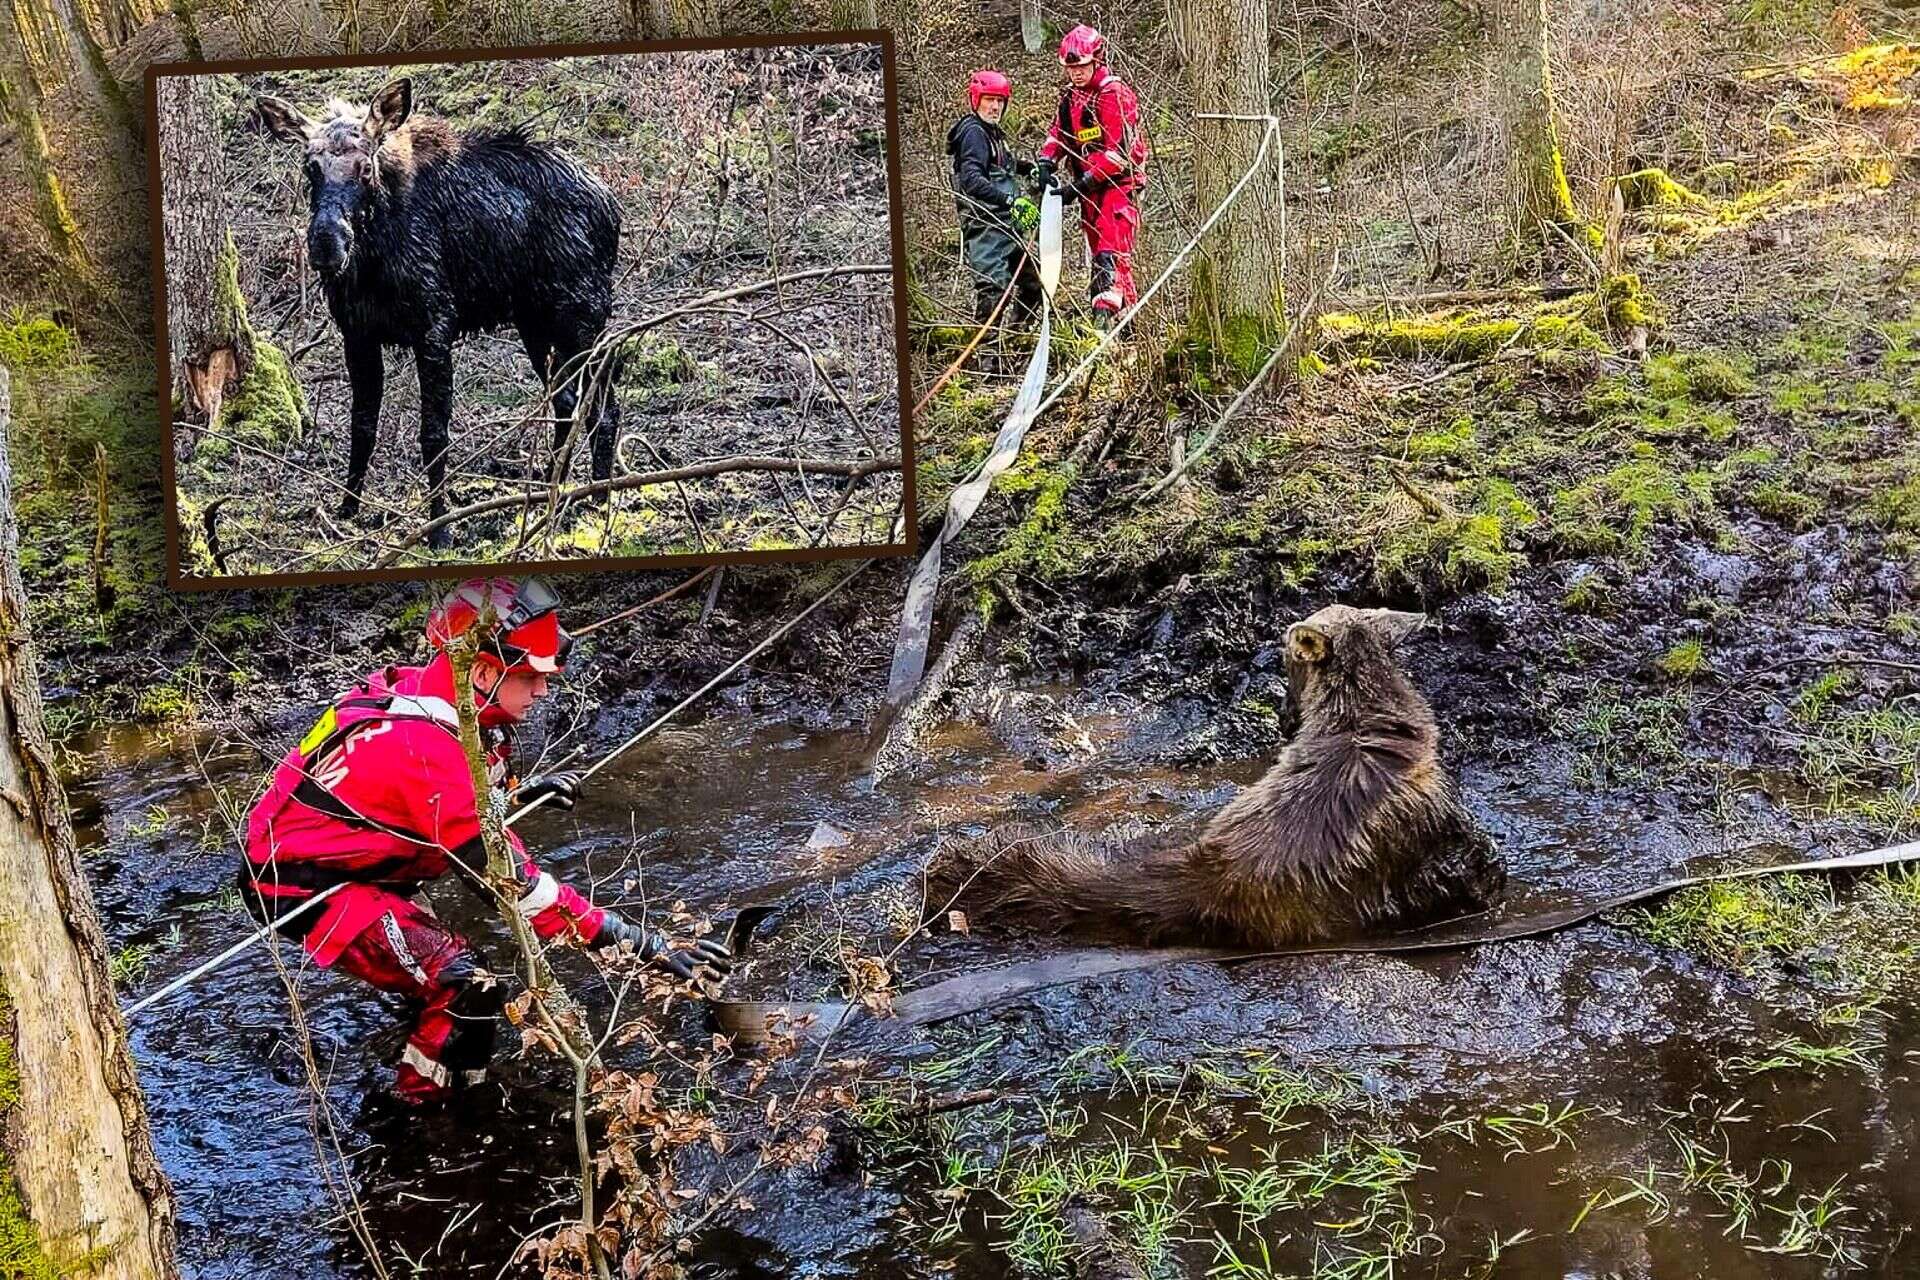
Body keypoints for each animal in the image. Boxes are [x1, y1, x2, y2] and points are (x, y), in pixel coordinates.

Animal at [259, 75, 622, 545]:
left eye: (365, 167)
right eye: (311, 167)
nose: (326, 244)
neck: (374, 259)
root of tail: (611, 204)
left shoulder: (434, 326)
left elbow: (433, 434)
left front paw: (439, 527)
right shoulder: (357, 334)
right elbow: (362, 425)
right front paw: (347, 508)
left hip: (581, 315)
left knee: (604, 404)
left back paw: (598, 495)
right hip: (535, 323)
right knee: (567, 400)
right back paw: (550, 488)